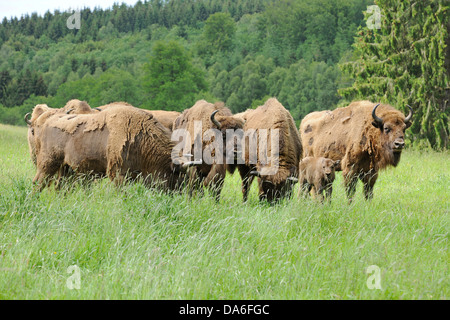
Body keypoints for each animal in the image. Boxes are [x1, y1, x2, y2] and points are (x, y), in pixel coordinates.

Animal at [32, 104, 185, 191]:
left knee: (60, 186)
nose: (179, 194)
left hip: (66, 168)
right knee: (38, 182)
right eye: (177, 174)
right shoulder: (118, 173)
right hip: (49, 163)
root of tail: (47, 122)